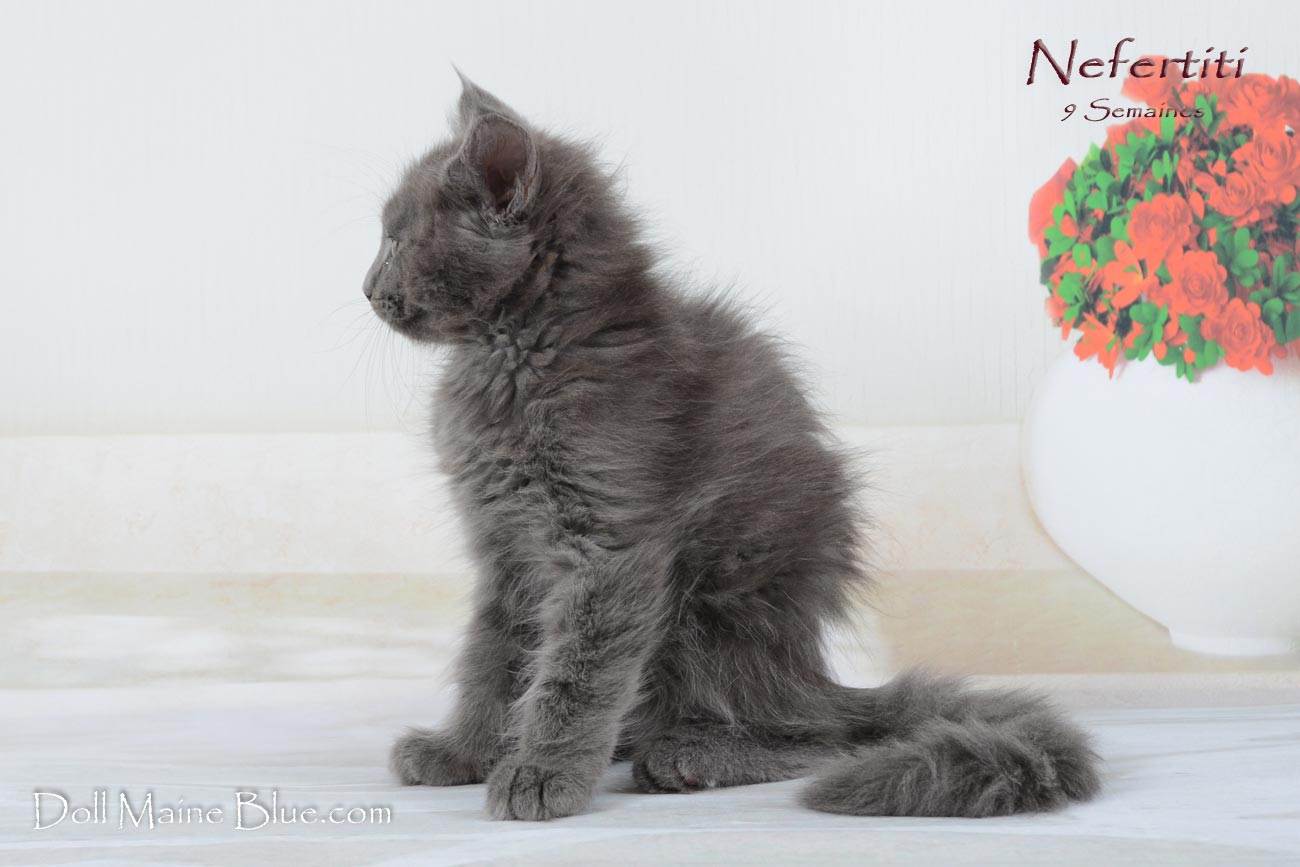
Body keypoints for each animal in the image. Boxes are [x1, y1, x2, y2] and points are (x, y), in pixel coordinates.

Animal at [368, 74, 1101, 821]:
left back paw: (689, 754)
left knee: (819, 736)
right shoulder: (507, 549)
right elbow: (494, 657)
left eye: (395, 241)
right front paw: (465, 751)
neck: (509, 360)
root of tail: (811, 673)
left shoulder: (609, 543)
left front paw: (544, 772)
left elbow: (575, 671)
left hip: (715, 601)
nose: (368, 288)